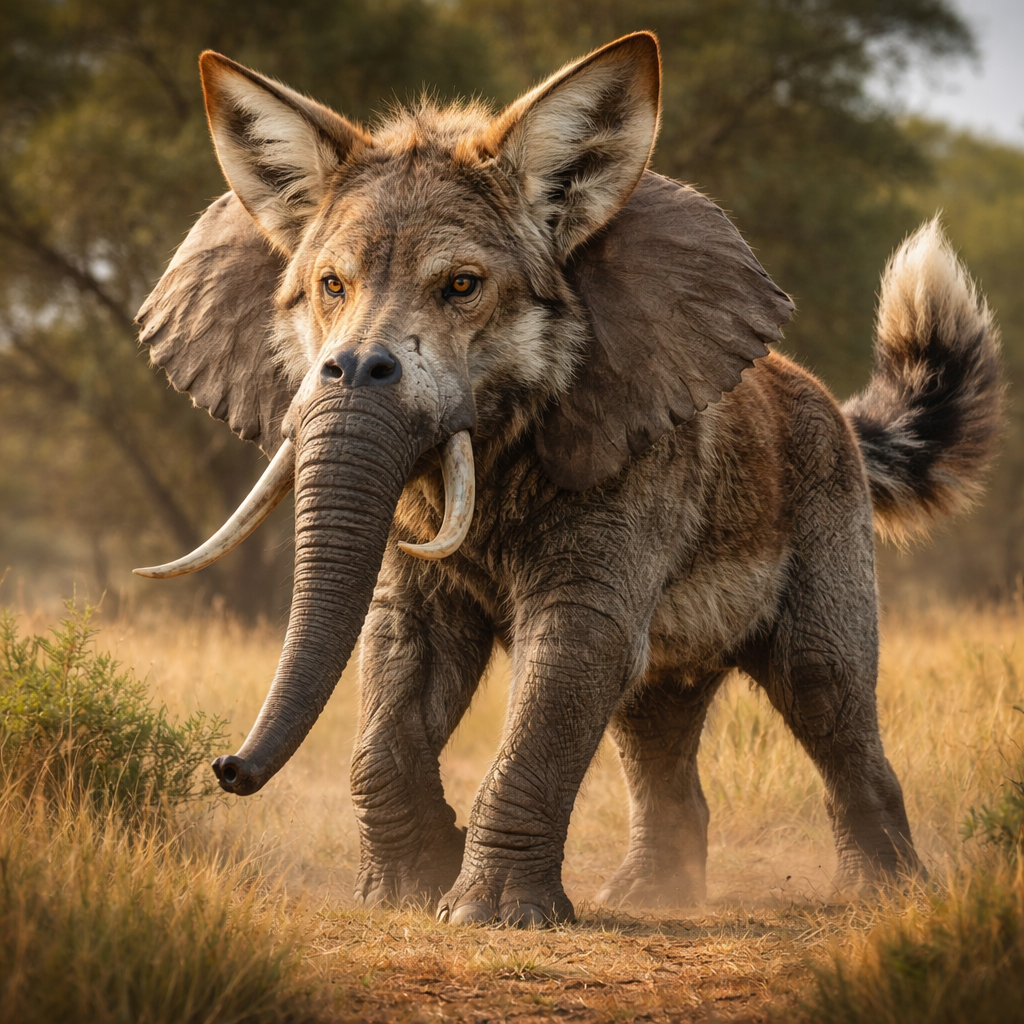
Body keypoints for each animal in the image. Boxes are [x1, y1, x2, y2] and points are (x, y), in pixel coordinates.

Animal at [134, 33, 1002, 926]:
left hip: (828, 516)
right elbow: (402, 646)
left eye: (462, 286)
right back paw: (653, 896)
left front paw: (489, 915)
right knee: (653, 718)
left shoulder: (634, 462)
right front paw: (411, 887)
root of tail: (840, 410)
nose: (225, 768)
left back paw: (883, 896)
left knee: (826, 691)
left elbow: (575, 645)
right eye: (329, 287)